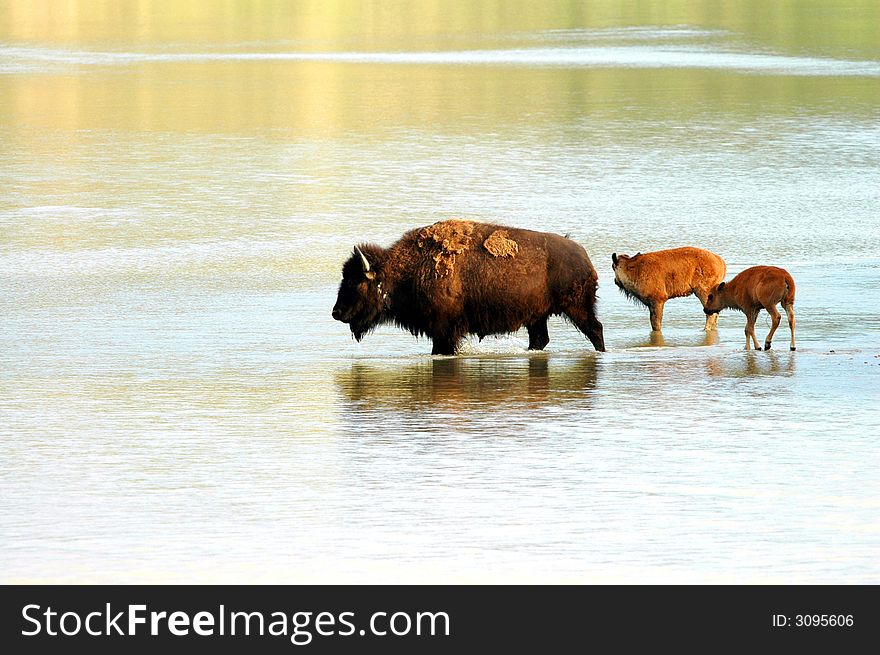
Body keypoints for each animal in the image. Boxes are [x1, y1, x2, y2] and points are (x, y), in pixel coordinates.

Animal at [330, 219, 604, 354]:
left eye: (355, 281)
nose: (336, 312)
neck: (403, 270)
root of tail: (583, 256)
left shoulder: (444, 332)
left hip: (577, 308)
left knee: (595, 329)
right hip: (537, 317)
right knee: (541, 339)